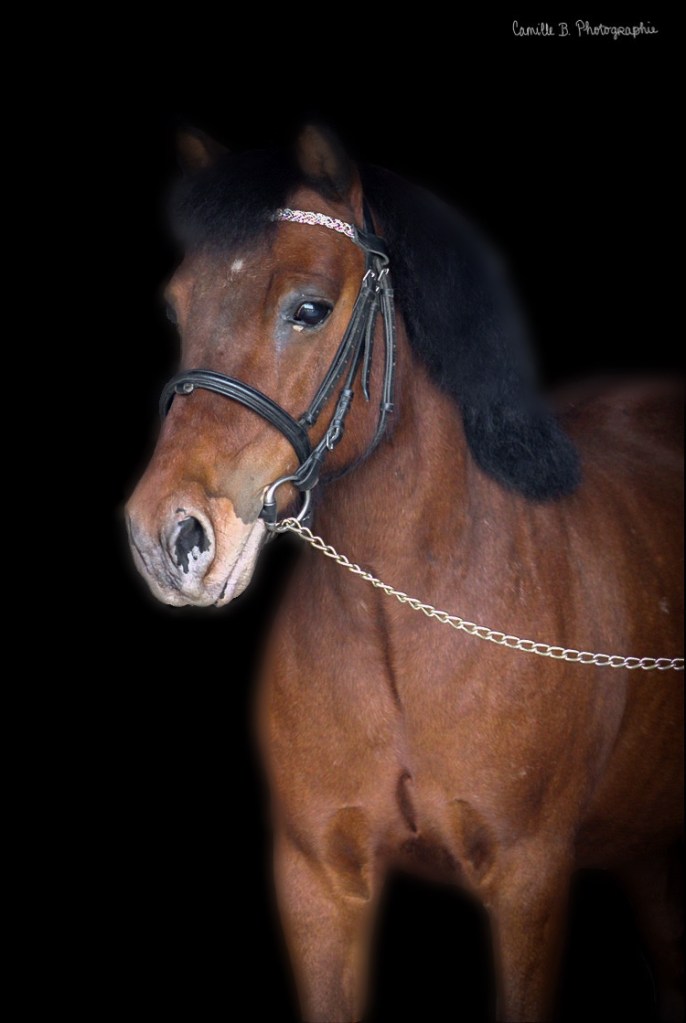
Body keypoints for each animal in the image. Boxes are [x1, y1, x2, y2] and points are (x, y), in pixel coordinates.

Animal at [125, 123, 684, 1022]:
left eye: (310, 307)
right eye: (177, 307)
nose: (164, 536)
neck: (408, 635)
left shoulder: (530, 883)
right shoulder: (317, 884)